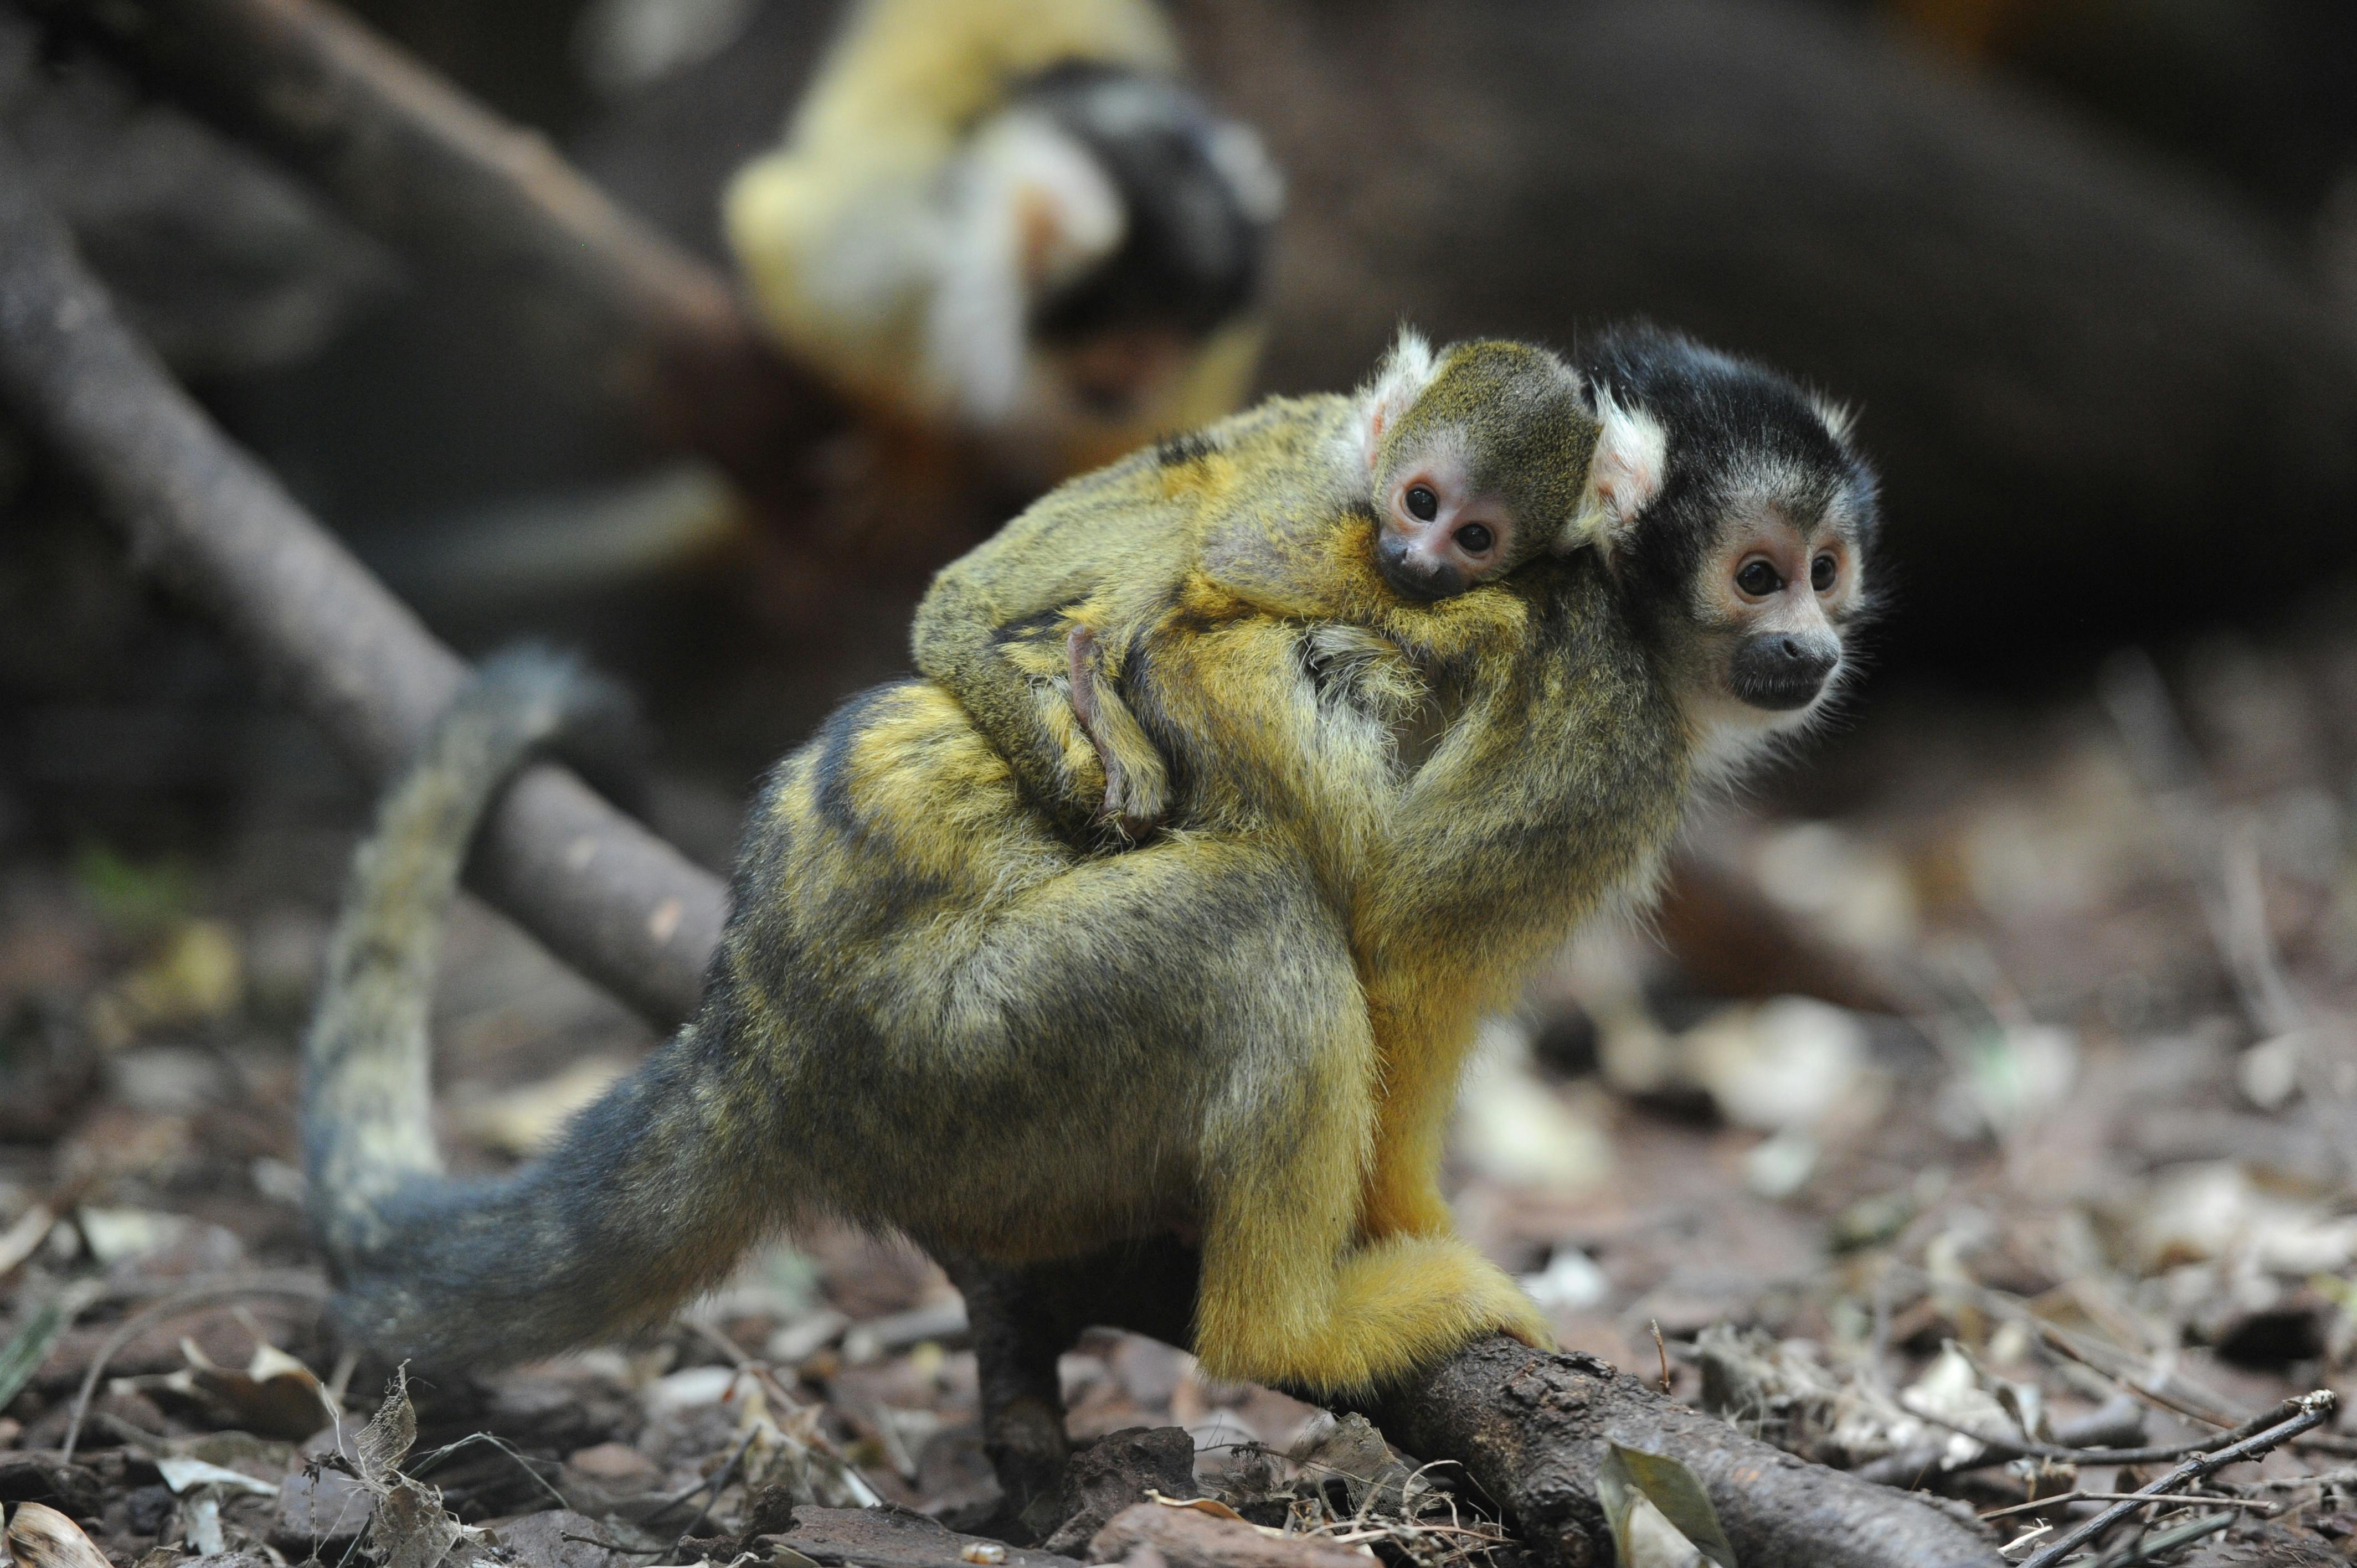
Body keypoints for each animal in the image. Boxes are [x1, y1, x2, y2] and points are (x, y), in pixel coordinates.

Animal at [716, 0, 1282, 483]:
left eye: (1182, 338)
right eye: (1131, 345)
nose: (1146, 386)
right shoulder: (888, 283)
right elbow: (771, 231)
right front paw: (904, 442)